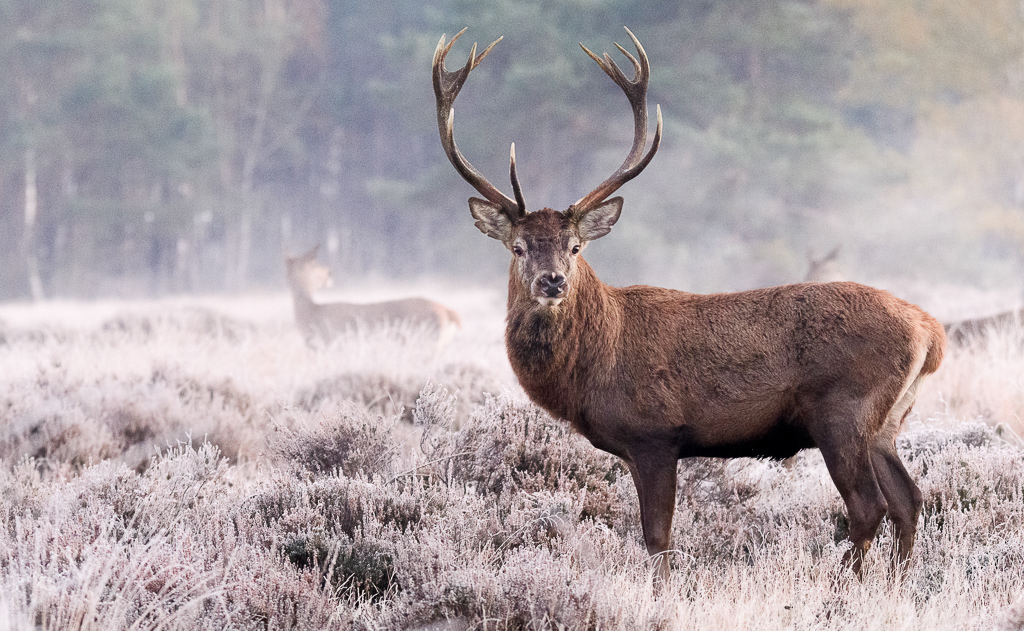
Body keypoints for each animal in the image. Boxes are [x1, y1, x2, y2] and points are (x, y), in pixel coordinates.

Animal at [433, 27, 947, 583]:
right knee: (909, 499)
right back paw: (896, 584)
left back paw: (840, 585)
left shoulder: (655, 434)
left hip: (843, 410)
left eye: (575, 246)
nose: (553, 282)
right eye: (518, 247)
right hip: (888, 420)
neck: (594, 364)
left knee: (869, 506)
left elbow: (657, 538)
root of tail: (929, 331)